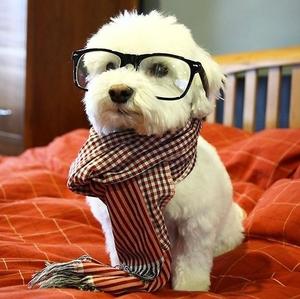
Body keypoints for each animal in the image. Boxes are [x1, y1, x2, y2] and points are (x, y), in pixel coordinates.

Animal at [81, 10, 245, 292]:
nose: (119, 91)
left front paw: (191, 287)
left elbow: (192, 258)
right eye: (110, 66)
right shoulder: (115, 221)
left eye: (160, 69)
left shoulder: (196, 223)